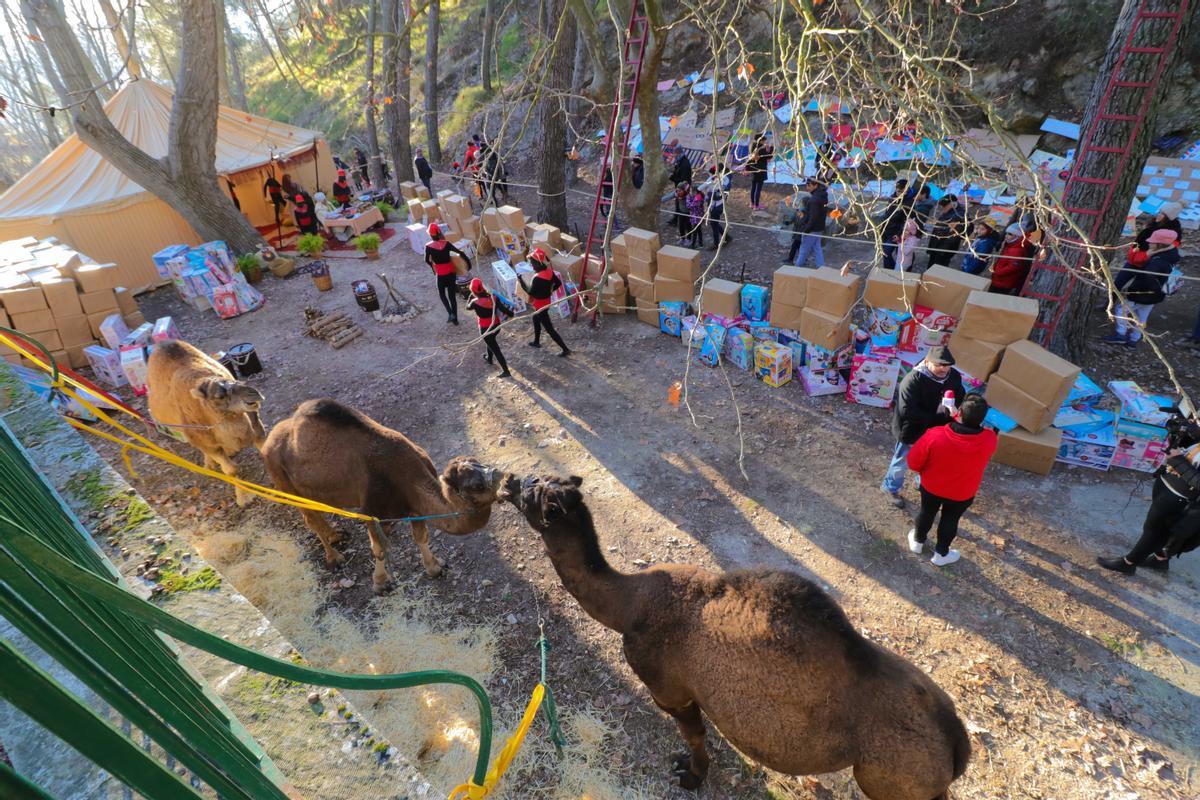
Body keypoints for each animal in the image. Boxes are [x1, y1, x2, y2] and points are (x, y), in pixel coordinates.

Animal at [146, 340, 266, 506]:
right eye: (219, 396)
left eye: (234, 380)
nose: (253, 393)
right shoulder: (202, 438)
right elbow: (231, 470)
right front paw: (244, 498)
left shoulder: (254, 423)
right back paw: (210, 463)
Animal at [260, 398, 504, 592]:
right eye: (476, 485)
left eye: (483, 464)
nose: (504, 477)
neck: (405, 475)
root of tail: (268, 440)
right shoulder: (372, 510)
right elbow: (378, 550)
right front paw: (380, 583)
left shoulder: (414, 507)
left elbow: (421, 537)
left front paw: (435, 568)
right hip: (280, 475)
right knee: (309, 517)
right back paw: (334, 558)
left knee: (317, 511)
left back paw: (336, 536)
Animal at [496, 472, 974, 796]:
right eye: (535, 481)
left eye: (532, 493)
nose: (508, 480)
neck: (628, 606)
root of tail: (956, 742)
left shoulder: (669, 687)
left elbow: (694, 736)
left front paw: (691, 776)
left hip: (892, 777)